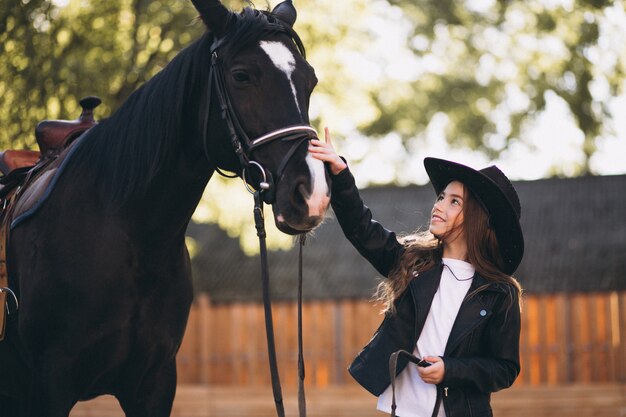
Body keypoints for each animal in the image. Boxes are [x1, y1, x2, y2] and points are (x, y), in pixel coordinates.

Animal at [0, 1, 330, 414]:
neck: (128, 235)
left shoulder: (154, 384)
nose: (311, 192)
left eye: (309, 80)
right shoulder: (51, 385)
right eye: (241, 76)